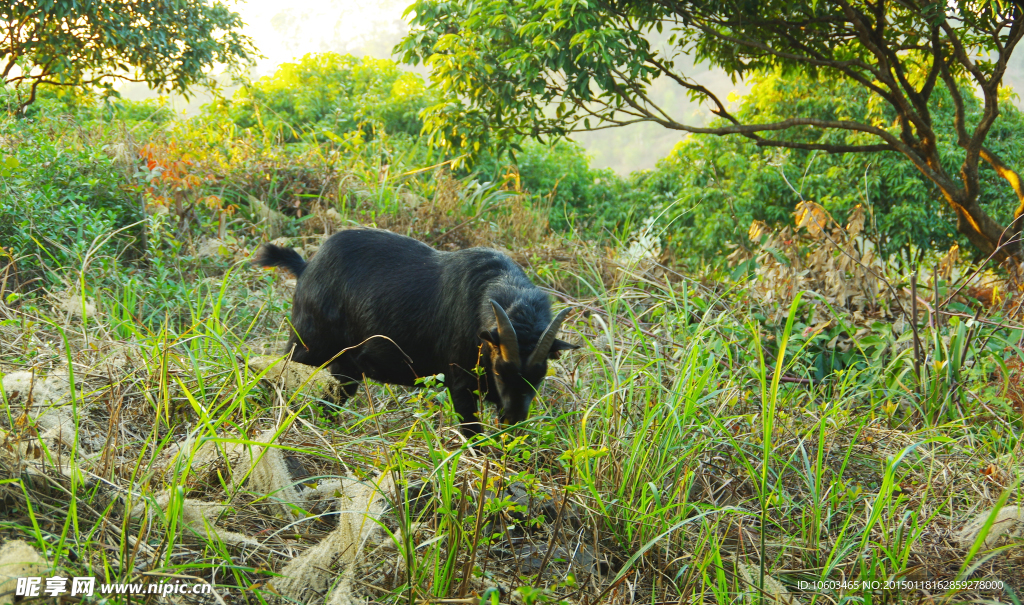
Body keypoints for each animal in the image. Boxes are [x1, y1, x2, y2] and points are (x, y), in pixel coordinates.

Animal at [252, 227, 577, 436]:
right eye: (500, 369)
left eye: (539, 376)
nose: (513, 420)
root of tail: (307, 267)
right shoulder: (459, 382)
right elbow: (472, 434)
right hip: (308, 344)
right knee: (278, 370)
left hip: (346, 365)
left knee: (332, 399)